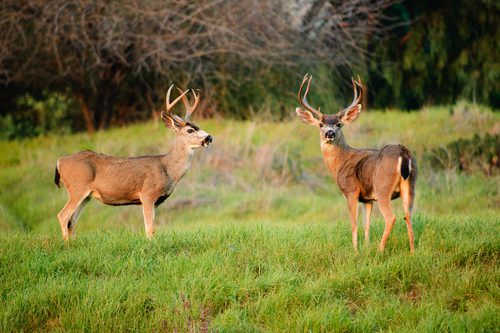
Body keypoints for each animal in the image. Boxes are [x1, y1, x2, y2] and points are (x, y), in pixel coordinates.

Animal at [53, 85, 213, 239]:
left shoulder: (156, 201)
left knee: (72, 221)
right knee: (63, 216)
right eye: (190, 130)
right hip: (78, 187)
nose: (209, 137)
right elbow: (150, 229)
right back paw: (67, 244)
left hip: (86, 196)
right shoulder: (147, 194)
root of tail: (60, 161)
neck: (168, 168)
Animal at [294, 74, 416, 252]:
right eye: (320, 124)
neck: (341, 162)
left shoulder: (351, 191)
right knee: (408, 215)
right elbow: (366, 224)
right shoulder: (368, 199)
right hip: (410, 185)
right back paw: (413, 252)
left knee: (391, 217)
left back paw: (380, 250)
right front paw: (366, 248)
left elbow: (354, 223)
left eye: (339, 124)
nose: (329, 133)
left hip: (383, 187)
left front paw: (356, 251)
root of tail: (403, 153)